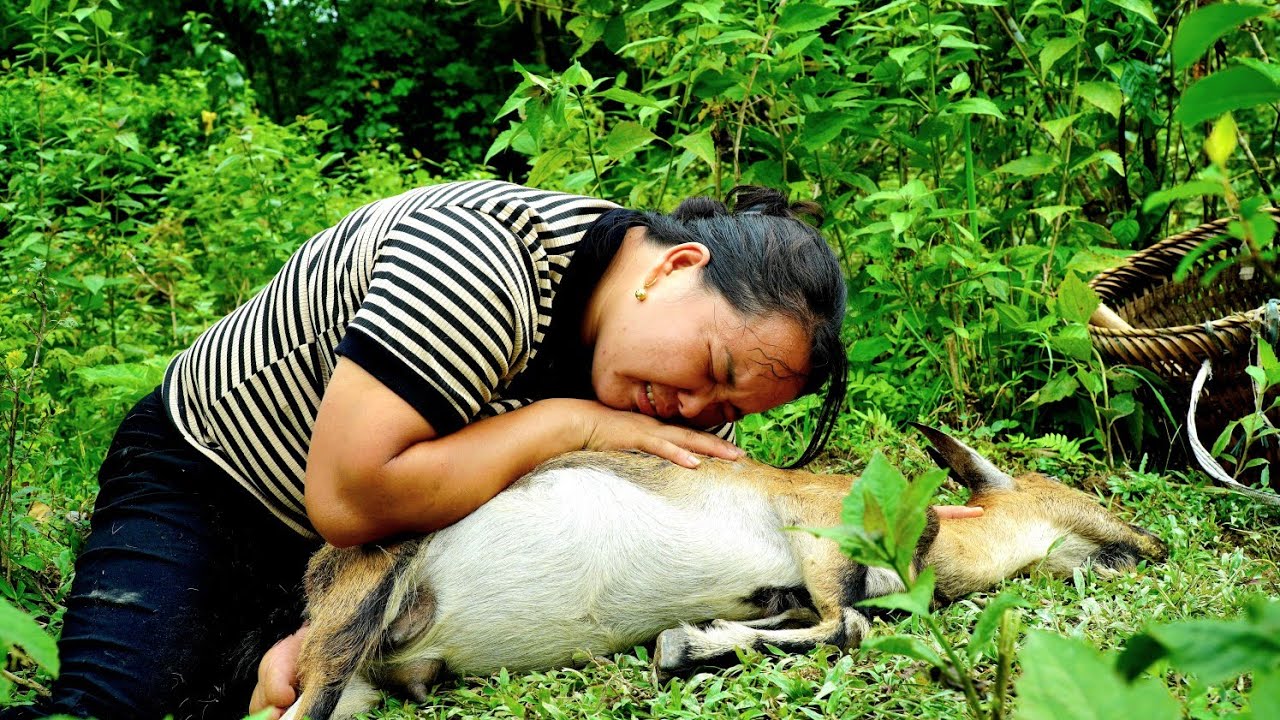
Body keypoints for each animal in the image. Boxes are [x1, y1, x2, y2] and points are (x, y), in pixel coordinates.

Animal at [281, 426, 1166, 720]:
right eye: (1079, 494)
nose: (1152, 542)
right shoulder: (817, 536)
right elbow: (846, 625)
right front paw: (681, 650)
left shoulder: (790, 589)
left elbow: (812, 622)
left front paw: (688, 644)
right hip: (354, 622)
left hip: (366, 678)